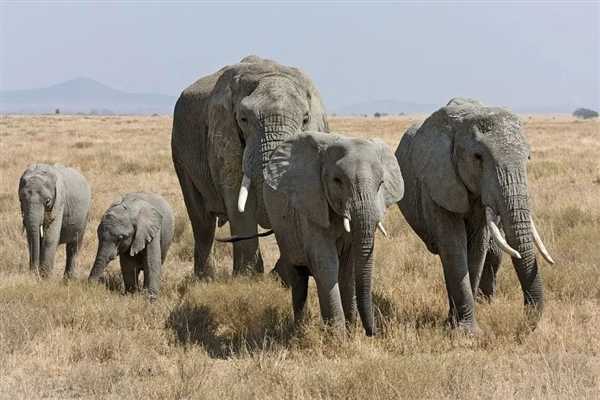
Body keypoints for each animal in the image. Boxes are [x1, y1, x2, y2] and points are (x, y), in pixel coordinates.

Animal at [171, 54, 330, 276]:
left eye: (305, 119)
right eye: (243, 119)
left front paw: (281, 276)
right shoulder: (223, 136)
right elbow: (237, 200)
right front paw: (248, 277)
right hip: (179, 150)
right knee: (202, 221)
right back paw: (206, 278)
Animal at [223, 133, 406, 336]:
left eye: (381, 184)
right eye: (337, 181)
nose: (373, 333)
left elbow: (348, 268)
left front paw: (351, 331)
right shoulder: (311, 205)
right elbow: (326, 262)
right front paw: (338, 336)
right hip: (283, 230)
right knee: (298, 277)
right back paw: (299, 329)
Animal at [396, 97, 556, 332]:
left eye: (528, 157)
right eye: (478, 157)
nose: (526, 323)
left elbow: (477, 248)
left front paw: (459, 326)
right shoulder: (438, 184)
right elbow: (455, 247)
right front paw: (466, 332)